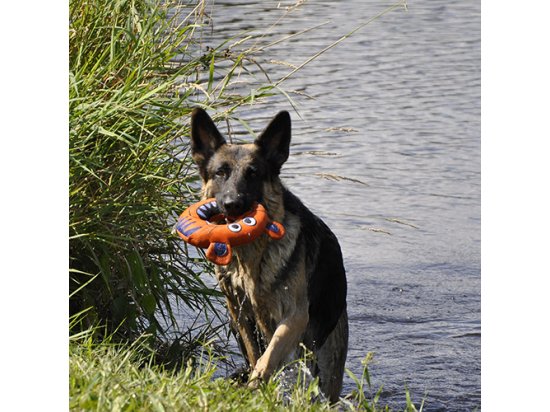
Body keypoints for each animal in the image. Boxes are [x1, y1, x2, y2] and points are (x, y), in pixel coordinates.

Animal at [190, 108, 350, 400]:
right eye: (220, 173)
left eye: (253, 174)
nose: (232, 204)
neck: (251, 259)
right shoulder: (241, 316)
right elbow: (257, 354)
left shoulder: (295, 316)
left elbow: (270, 355)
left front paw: (258, 382)